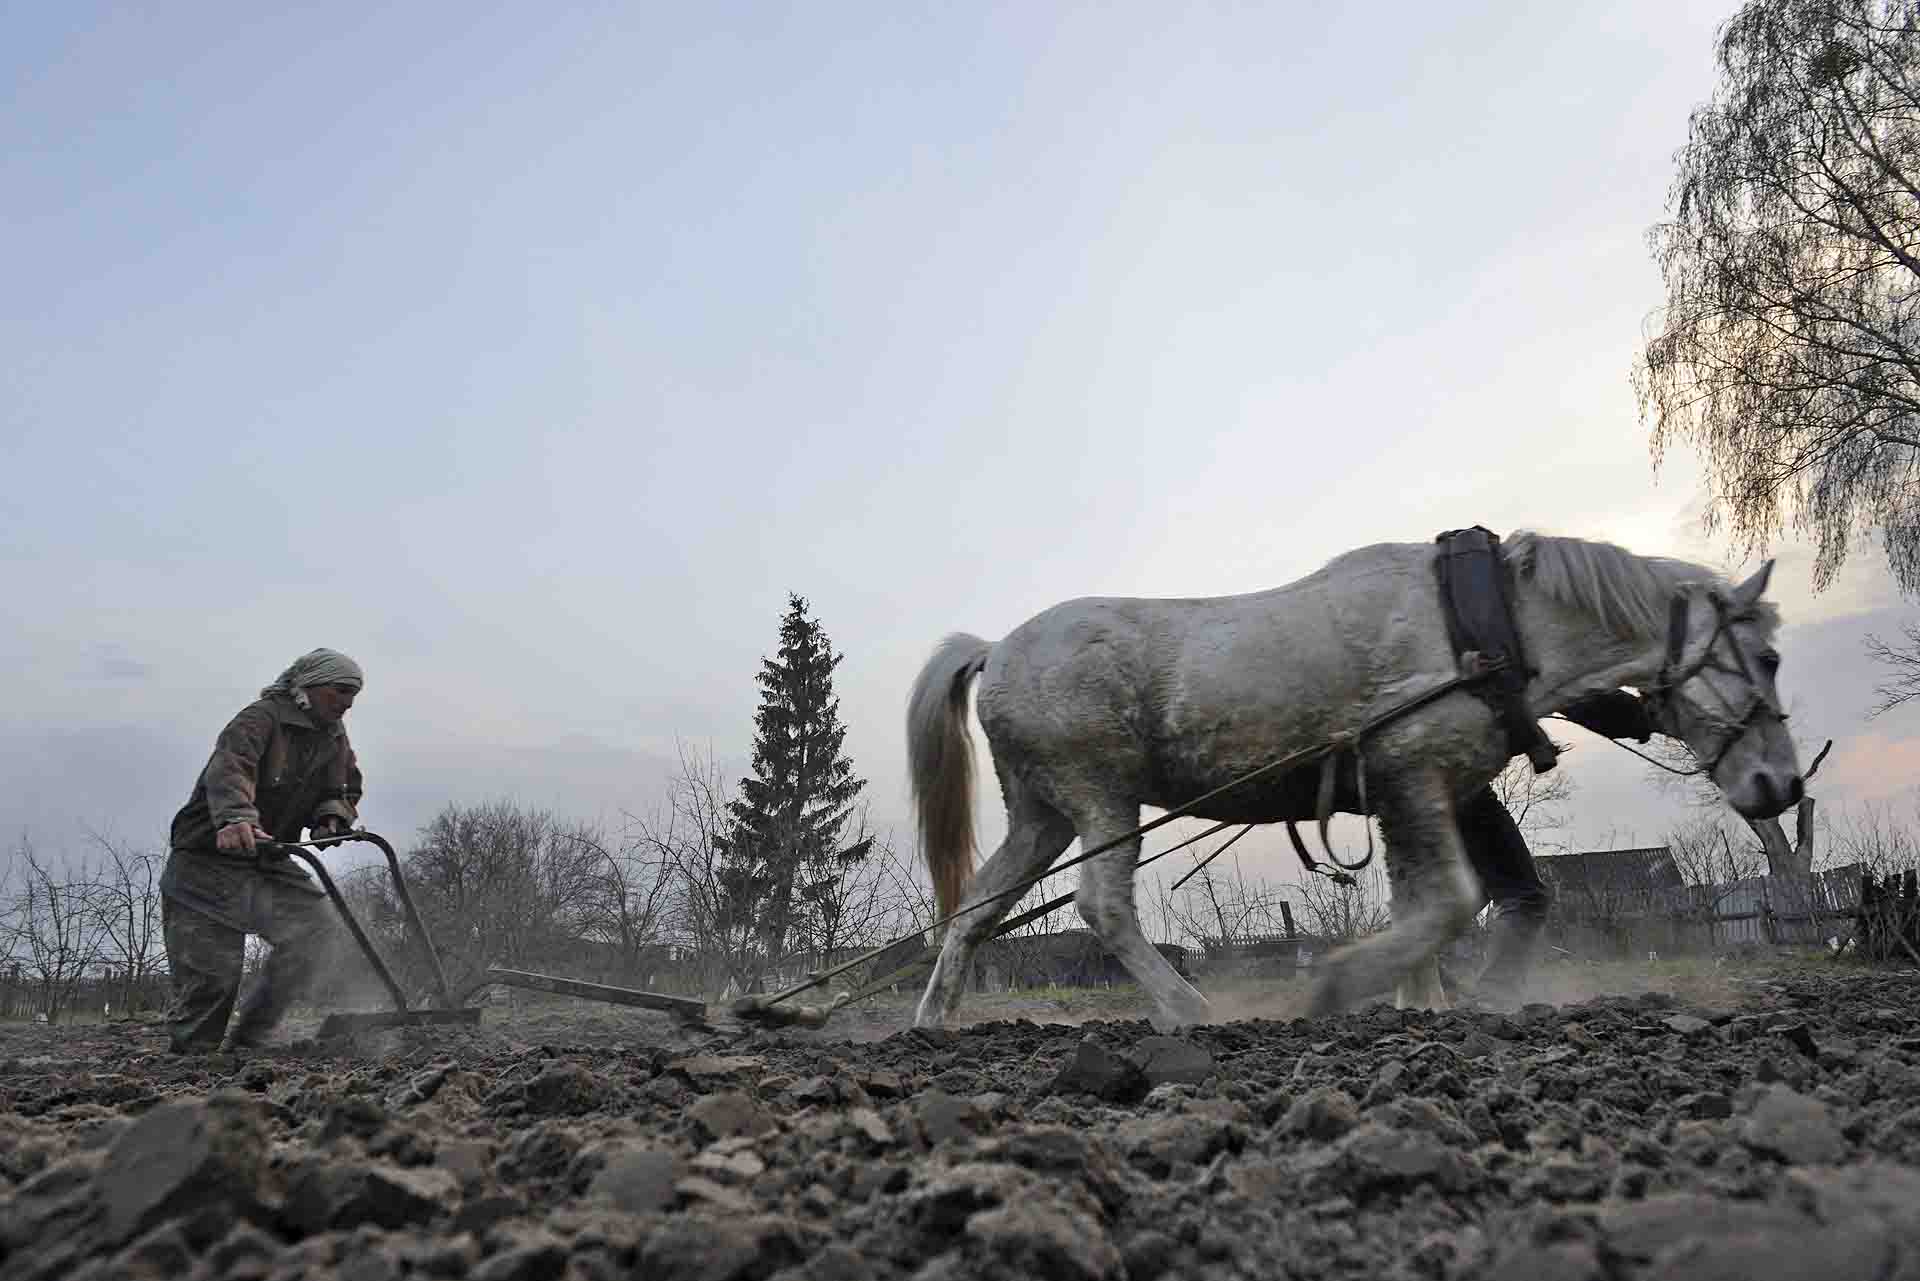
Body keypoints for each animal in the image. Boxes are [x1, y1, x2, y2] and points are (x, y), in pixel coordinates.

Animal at [898, 530, 1797, 1029]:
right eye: (1768, 657)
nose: (1781, 785)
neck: (1479, 624)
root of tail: (997, 649)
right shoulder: (1414, 771)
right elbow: (1450, 900)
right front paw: (1345, 983)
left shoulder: (1409, 795)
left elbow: (1415, 901)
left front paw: (1418, 1003)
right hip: (1101, 794)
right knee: (1102, 905)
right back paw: (1190, 1010)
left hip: (1042, 812)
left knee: (976, 909)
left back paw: (933, 1022)